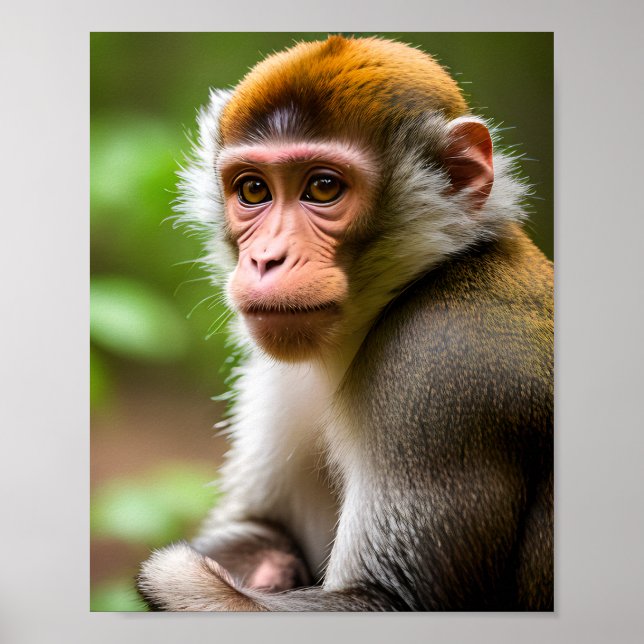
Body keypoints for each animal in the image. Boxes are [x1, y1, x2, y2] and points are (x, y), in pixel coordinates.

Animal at [137, 35, 553, 612]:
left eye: (323, 188)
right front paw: (262, 560)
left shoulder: (443, 364)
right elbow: (266, 526)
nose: (266, 259)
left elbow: (381, 599)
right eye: (253, 191)